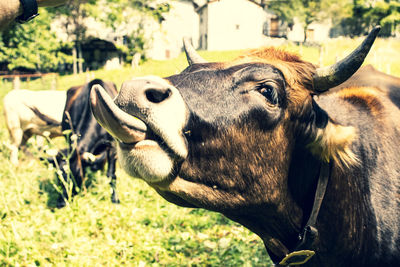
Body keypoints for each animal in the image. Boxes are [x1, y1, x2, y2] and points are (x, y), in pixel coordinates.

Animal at [51, 80, 119, 209]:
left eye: (77, 175)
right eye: (58, 177)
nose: (61, 203)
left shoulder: (113, 146)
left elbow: (111, 175)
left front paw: (115, 199)